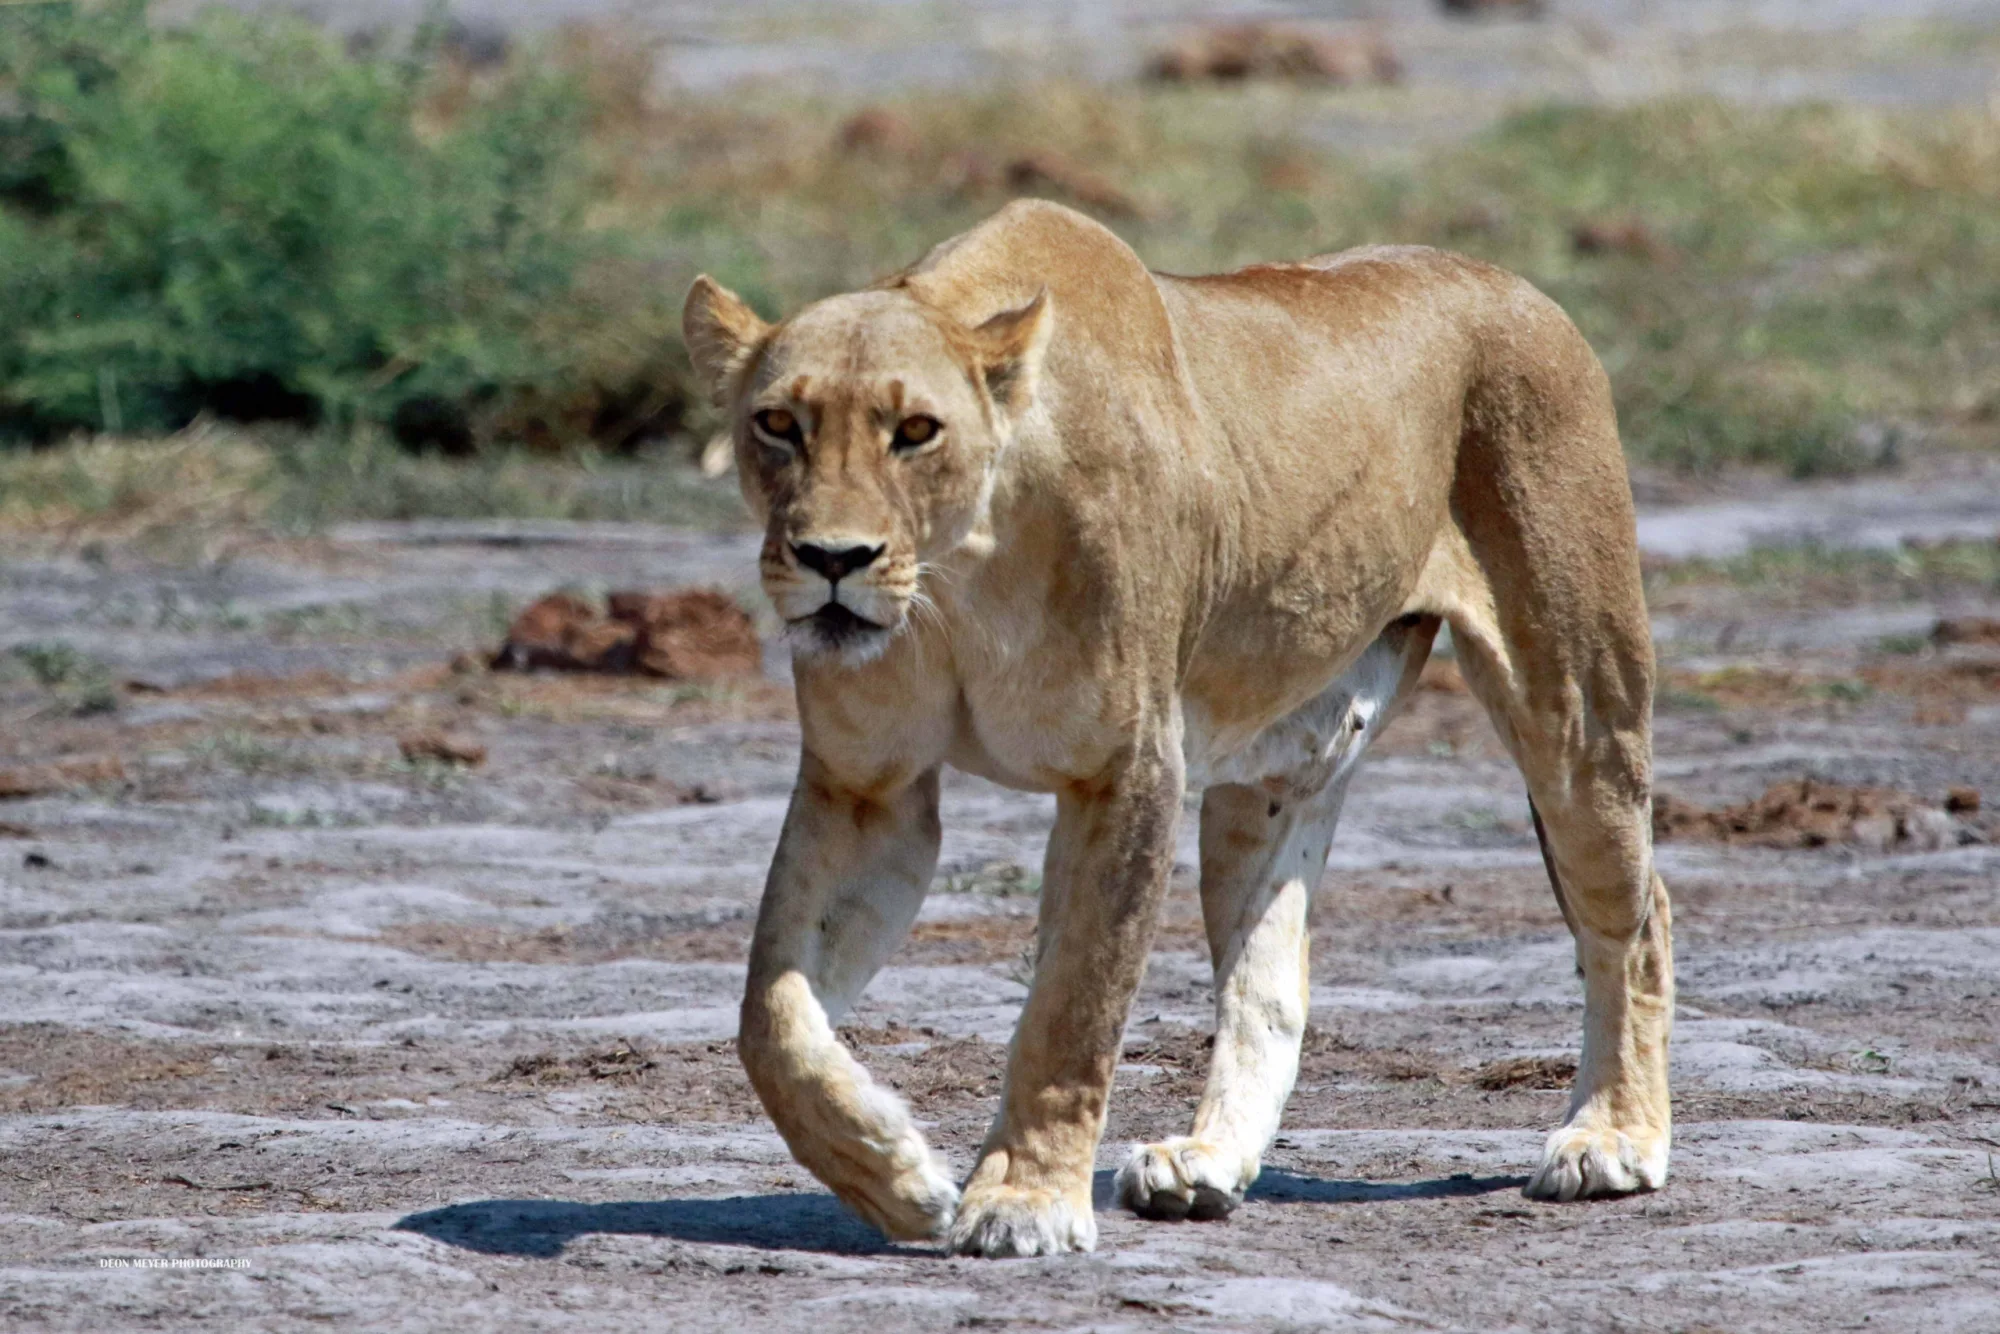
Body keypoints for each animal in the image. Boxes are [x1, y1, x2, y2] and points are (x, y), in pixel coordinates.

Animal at [681, 199, 1673, 1258]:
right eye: (778, 424)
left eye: (915, 431)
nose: (833, 558)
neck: (960, 577)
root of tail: (1517, 287)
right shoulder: (867, 786)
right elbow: (770, 1016)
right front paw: (894, 1176)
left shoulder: (1126, 769)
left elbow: (1073, 1007)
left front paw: (1024, 1201)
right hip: (1276, 767)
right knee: (1272, 980)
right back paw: (1204, 1165)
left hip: (1575, 705)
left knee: (1637, 912)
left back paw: (1614, 1139)